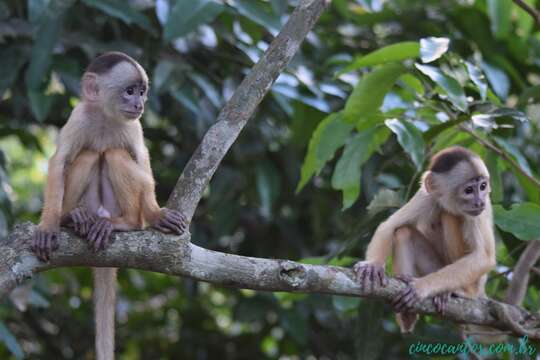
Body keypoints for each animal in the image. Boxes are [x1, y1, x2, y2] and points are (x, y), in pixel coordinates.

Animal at [32, 51, 188, 360]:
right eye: (129, 91)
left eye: (141, 91)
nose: (139, 103)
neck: (105, 117)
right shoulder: (78, 117)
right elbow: (59, 163)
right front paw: (49, 224)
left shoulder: (135, 125)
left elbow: (142, 160)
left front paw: (156, 215)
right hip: (92, 203)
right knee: (90, 155)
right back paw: (73, 218)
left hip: (116, 208)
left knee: (114, 154)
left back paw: (124, 223)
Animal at [352, 146, 496, 334]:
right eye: (469, 190)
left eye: (483, 186)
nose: (479, 202)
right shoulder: (427, 195)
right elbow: (389, 226)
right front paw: (373, 265)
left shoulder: (478, 212)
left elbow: (483, 257)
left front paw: (421, 287)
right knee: (403, 232)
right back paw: (407, 315)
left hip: (475, 285)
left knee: (449, 216)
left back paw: (457, 292)